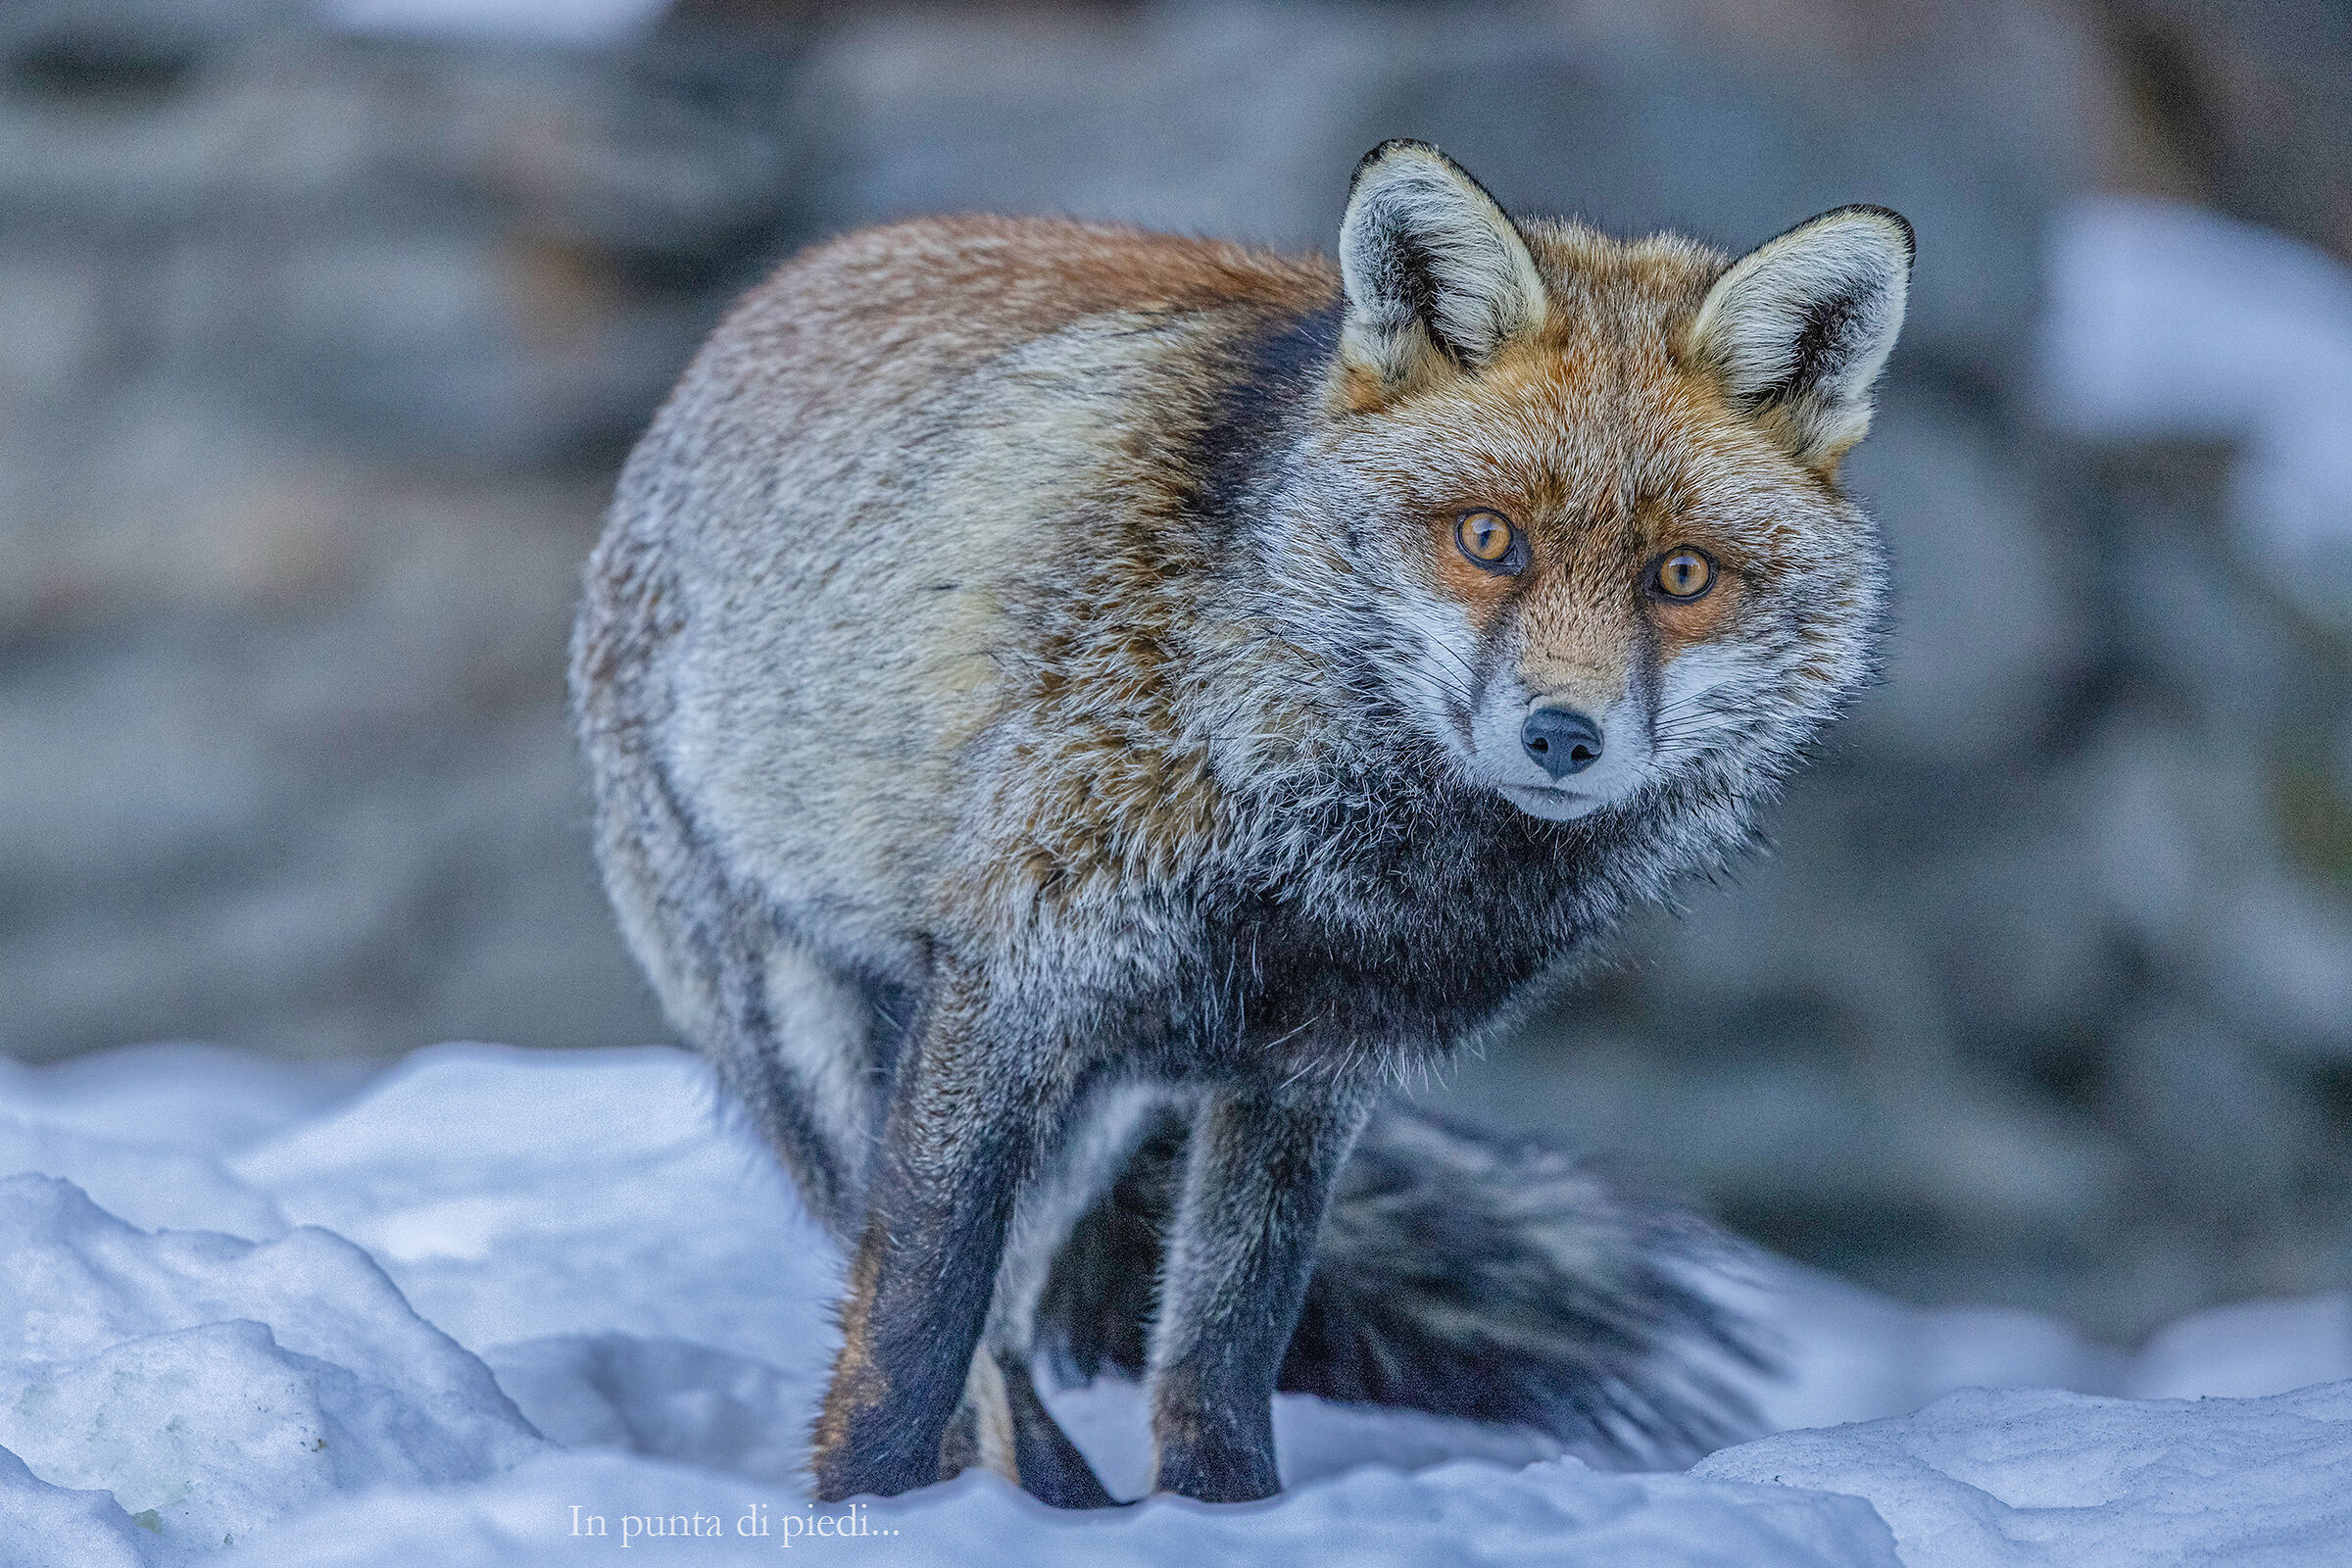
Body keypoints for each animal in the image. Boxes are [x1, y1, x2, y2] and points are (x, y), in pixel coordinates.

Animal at [570, 139, 1910, 1507]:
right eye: (1490, 539)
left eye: (1680, 575)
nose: (1562, 736)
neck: (1326, 848)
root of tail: (754, 310)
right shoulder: (1016, 981)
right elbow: (914, 1328)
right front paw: (873, 1505)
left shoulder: (1310, 1071)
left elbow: (1224, 1342)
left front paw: (1223, 1514)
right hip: (829, 1054)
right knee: (964, 1323)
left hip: (1092, 1113)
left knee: (1019, 1321)